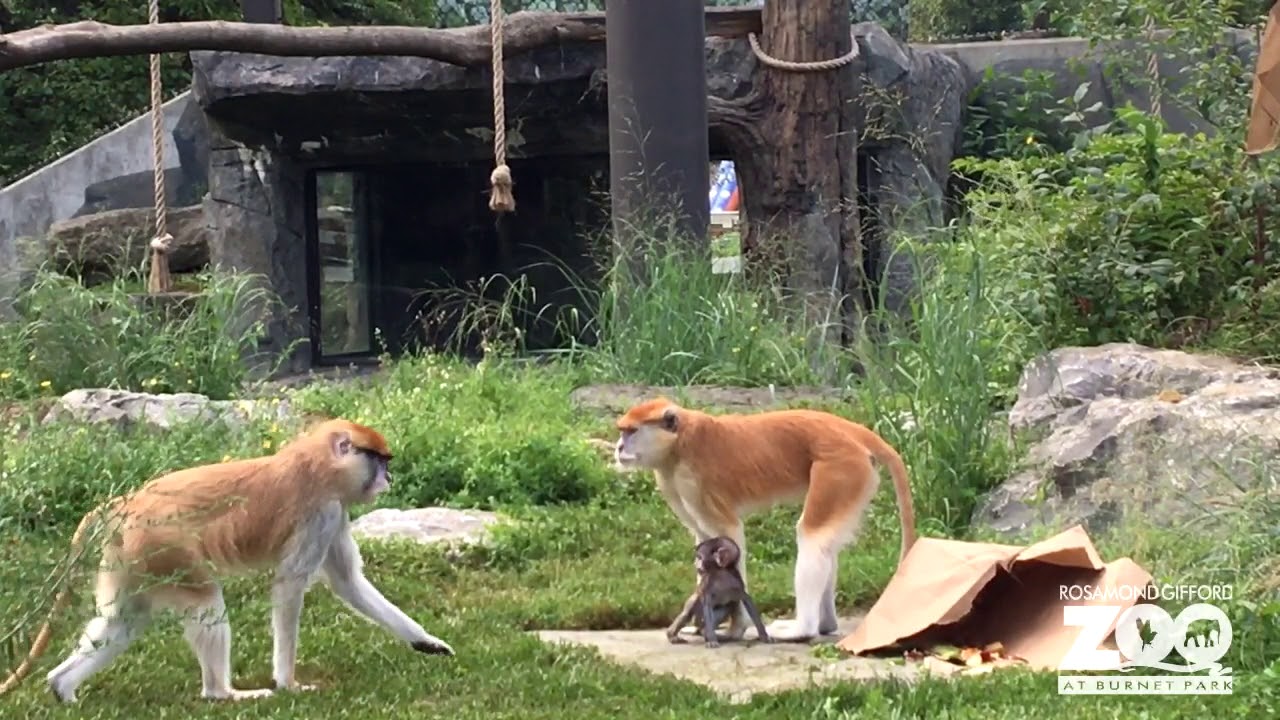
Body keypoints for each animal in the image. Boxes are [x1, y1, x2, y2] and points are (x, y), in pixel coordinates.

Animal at [0, 418, 454, 704]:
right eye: (378, 460)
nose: (387, 479)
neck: (318, 460)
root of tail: (126, 504)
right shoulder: (323, 511)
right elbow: (289, 586)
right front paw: (288, 684)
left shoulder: (336, 512)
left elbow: (348, 581)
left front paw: (427, 642)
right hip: (165, 549)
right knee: (205, 603)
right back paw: (224, 693)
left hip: (132, 558)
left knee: (124, 620)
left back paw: (62, 687)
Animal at [613, 398, 917, 644]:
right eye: (622, 430)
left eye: (632, 431)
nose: (618, 447)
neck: (678, 444)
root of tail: (850, 429)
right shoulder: (672, 482)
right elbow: (703, 540)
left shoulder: (693, 480)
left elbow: (729, 537)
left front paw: (736, 627)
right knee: (826, 544)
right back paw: (826, 625)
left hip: (840, 468)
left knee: (812, 536)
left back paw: (803, 629)